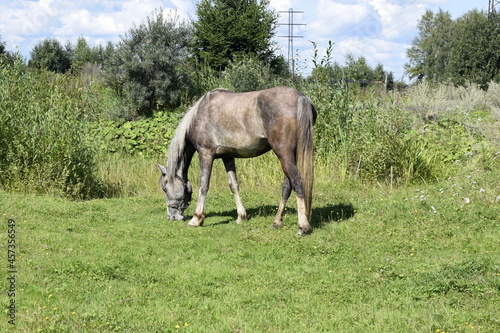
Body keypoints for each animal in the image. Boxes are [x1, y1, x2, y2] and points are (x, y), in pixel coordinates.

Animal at [157, 87, 316, 235]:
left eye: (165, 188)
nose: (171, 217)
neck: (199, 115)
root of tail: (300, 97)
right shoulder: (227, 157)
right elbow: (234, 185)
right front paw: (241, 216)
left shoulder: (205, 154)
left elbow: (204, 185)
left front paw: (197, 218)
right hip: (291, 155)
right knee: (287, 186)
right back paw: (277, 221)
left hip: (284, 154)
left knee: (297, 183)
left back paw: (303, 226)